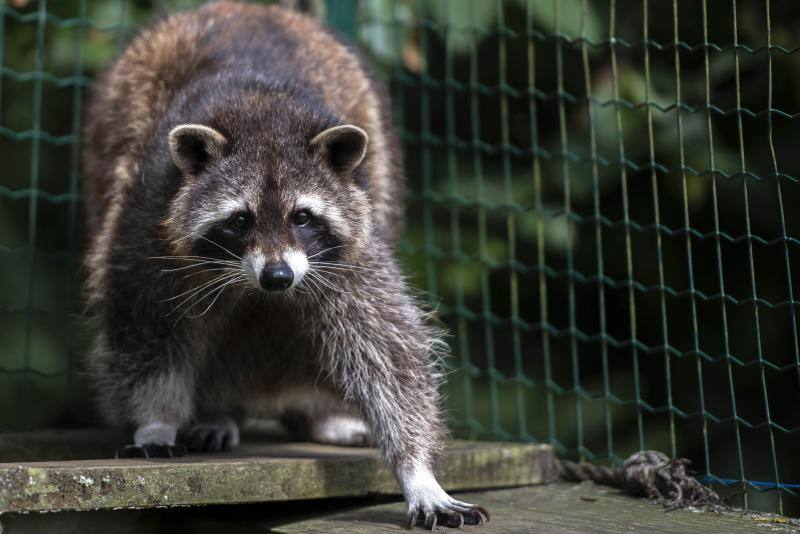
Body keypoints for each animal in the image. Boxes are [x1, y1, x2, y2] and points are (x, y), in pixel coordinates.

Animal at [84, 1, 490, 532]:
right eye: (240, 219)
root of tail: (255, 8)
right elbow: (146, 328)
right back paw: (216, 412)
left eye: (302, 217)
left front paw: (417, 471)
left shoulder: (349, 252)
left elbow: (388, 347)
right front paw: (158, 418)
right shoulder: (150, 221)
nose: (277, 277)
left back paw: (320, 412)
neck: (264, 111)